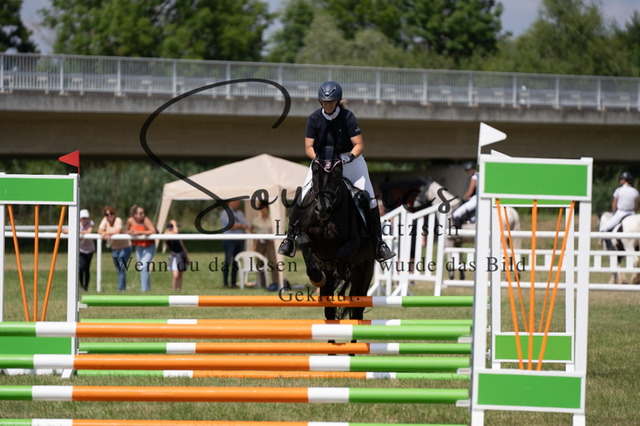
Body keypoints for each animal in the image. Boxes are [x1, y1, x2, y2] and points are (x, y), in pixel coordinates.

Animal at [295, 146, 375, 321]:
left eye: (337, 173)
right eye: (315, 171)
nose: (323, 209)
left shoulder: (354, 242)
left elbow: (342, 252)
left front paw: (341, 270)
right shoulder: (304, 235)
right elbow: (305, 245)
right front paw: (316, 277)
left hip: (364, 271)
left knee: (357, 310)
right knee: (330, 311)